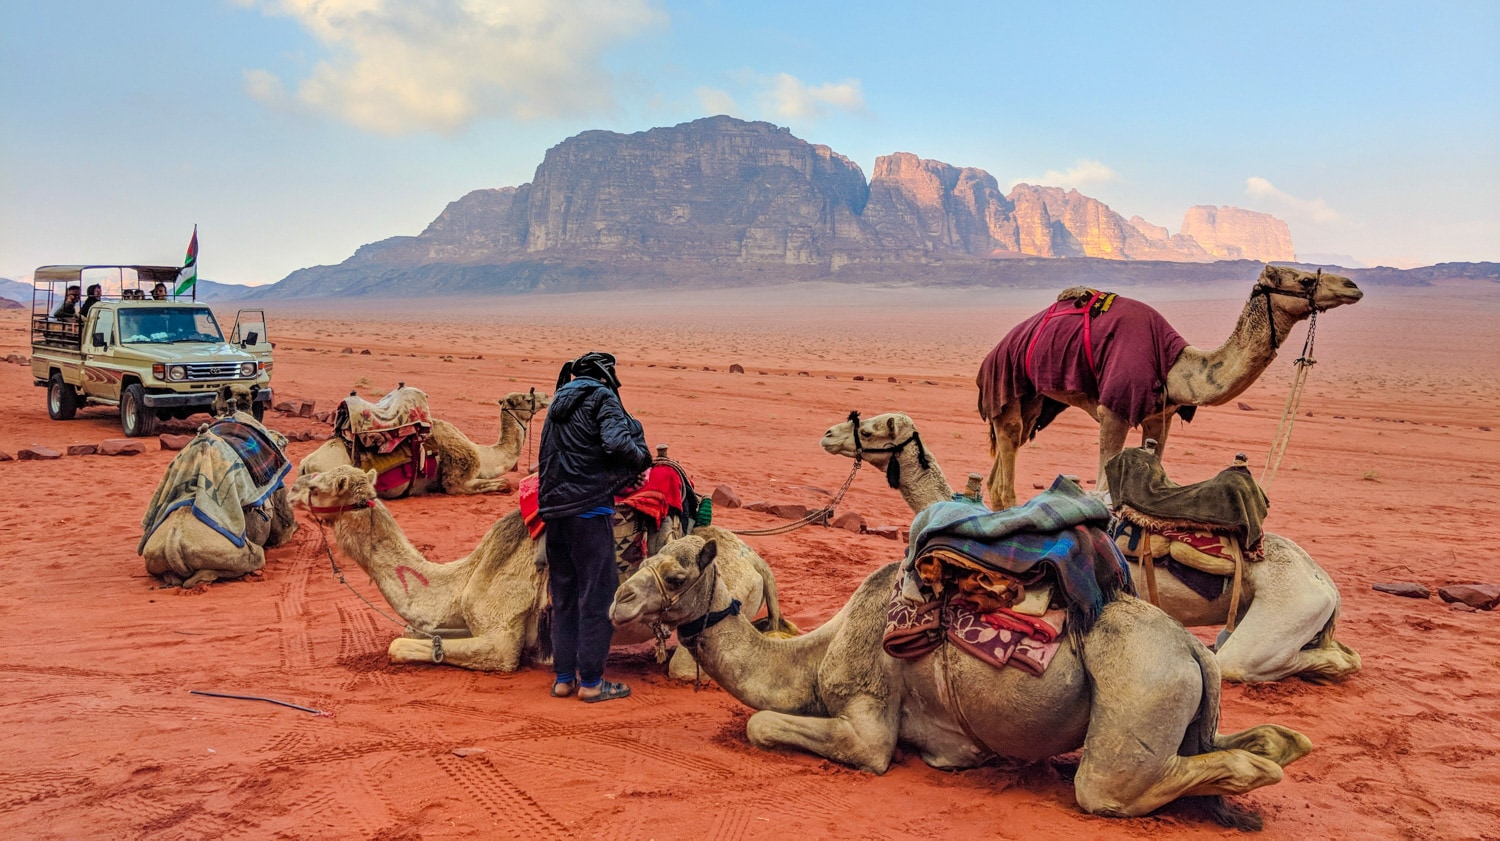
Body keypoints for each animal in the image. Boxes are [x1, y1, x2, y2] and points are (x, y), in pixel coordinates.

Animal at [141, 385, 297, 588]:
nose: (212, 405)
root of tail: (172, 545)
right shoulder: (278, 491)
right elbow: (288, 528)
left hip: (154, 556)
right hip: (236, 552)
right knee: (250, 557)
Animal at [289, 464, 791, 679]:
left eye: (319, 484)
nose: (291, 487)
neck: (464, 578)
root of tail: (757, 561)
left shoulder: (501, 637)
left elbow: (402, 645)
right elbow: (418, 634)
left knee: (687, 669)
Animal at [298, 390, 551, 496]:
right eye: (527, 398)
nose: (547, 397)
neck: (484, 456)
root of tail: (306, 462)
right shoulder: (456, 482)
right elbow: (505, 484)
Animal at [611, 533, 1312, 828]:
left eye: (675, 575)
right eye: (647, 558)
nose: (617, 600)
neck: (812, 656)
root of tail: (1192, 648)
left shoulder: (868, 725)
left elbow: (761, 723)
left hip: (1140, 686)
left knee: (1115, 786)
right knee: (1254, 744)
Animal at [980, 264, 1363, 510]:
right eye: (1304, 279)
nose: (1352, 286)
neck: (1174, 367)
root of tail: (994, 352)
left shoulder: (1159, 417)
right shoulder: (1114, 410)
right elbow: (1103, 488)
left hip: (1035, 401)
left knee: (1004, 461)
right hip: (1006, 386)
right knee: (1006, 468)